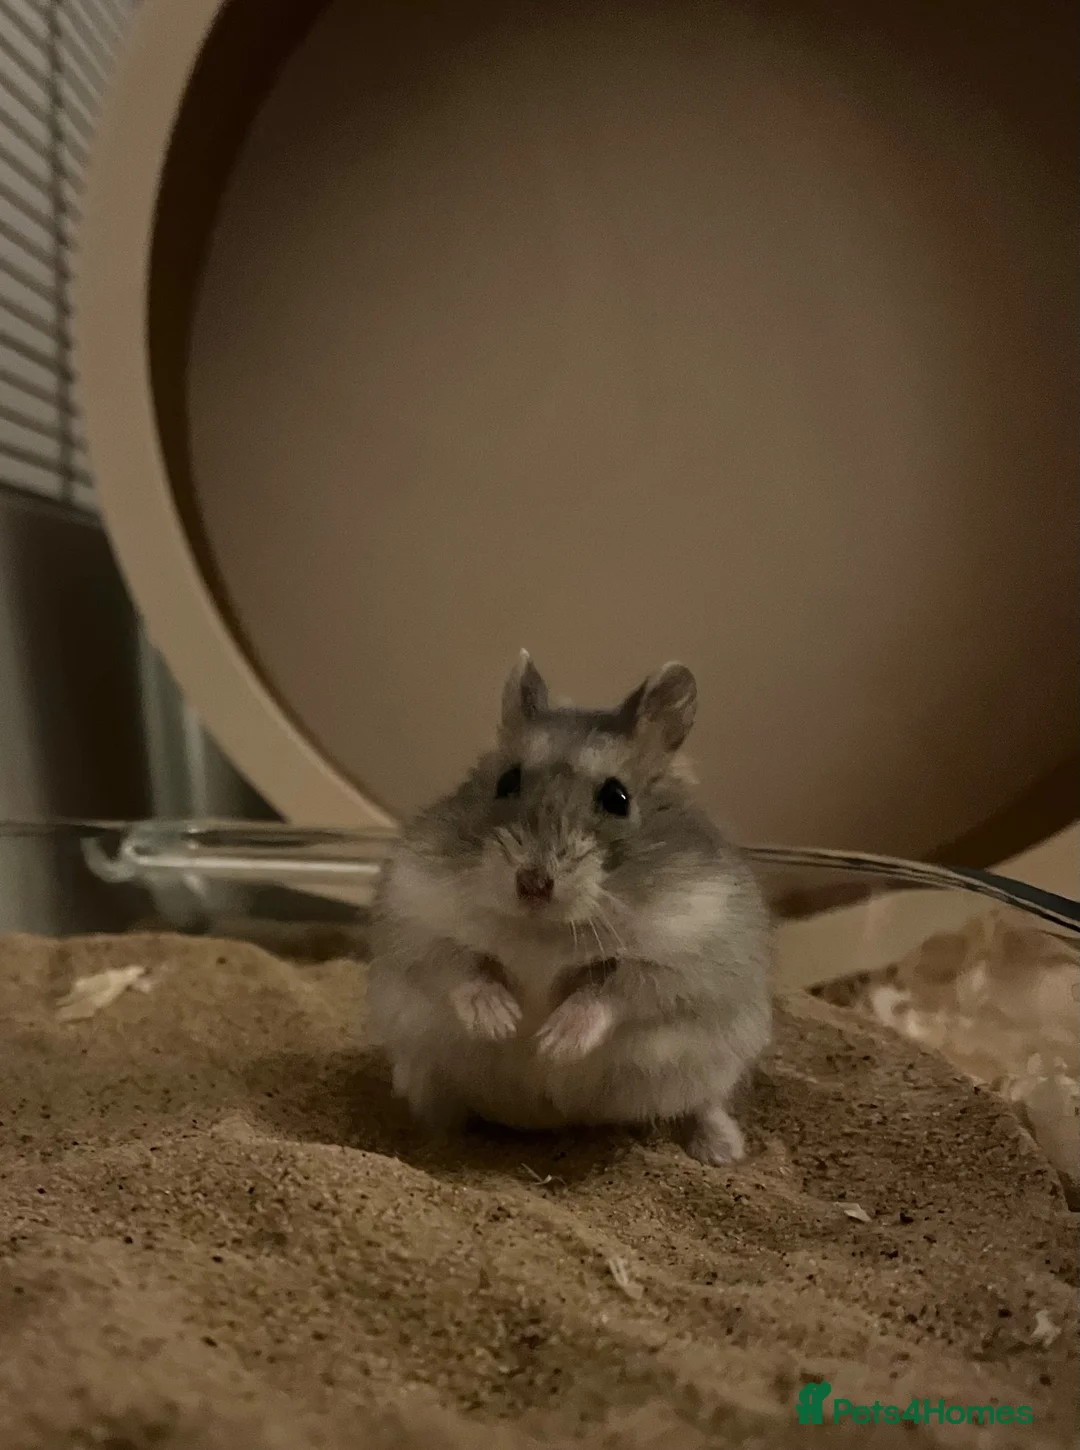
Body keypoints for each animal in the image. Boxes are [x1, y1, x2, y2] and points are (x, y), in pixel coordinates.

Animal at [366, 652, 772, 1164]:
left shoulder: (683, 960)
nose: (532, 884)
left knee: (705, 1104)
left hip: (716, 1061)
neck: (544, 929)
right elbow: (460, 969)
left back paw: (722, 1152)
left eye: (617, 798)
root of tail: (550, 1121)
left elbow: (612, 991)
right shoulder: (416, 925)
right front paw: (504, 1023)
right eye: (507, 781)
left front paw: (552, 1044)